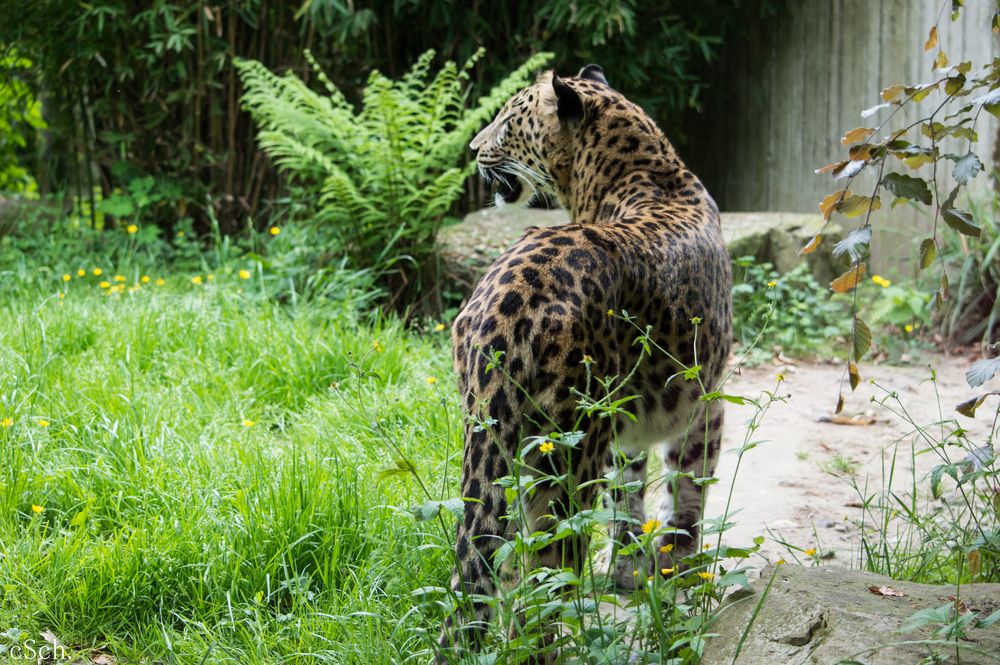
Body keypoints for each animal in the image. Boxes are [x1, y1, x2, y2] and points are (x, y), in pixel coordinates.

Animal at [438, 63, 736, 660]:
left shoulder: (633, 430)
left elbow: (632, 500)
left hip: (502, 452)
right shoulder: (706, 404)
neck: (646, 170)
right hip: (568, 458)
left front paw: (630, 574)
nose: (474, 148)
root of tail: (506, 306)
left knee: (498, 572)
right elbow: (687, 499)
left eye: (508, 118)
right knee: (545, 588)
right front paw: (679, 574)